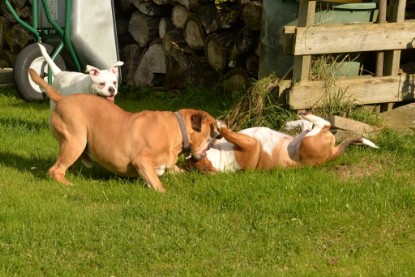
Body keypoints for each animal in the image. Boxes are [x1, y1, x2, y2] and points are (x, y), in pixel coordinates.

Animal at [28, 68, 221, 191]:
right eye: (211, 130)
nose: (219, 135)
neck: (178, 129)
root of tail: (61, 98)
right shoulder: (142, 161)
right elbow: (159, 187)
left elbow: (181, 172)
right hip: (75, 141)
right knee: (55, 170)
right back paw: (70, 185)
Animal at [190, 113, 378, 171]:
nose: (191, 154)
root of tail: (332, 155)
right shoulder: (250, 144)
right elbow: (230, 134)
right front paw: (220, 126)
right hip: (307, 143)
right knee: (324, 124)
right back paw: (306, 115)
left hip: (300, 139)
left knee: (308, 126)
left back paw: (293, 122)